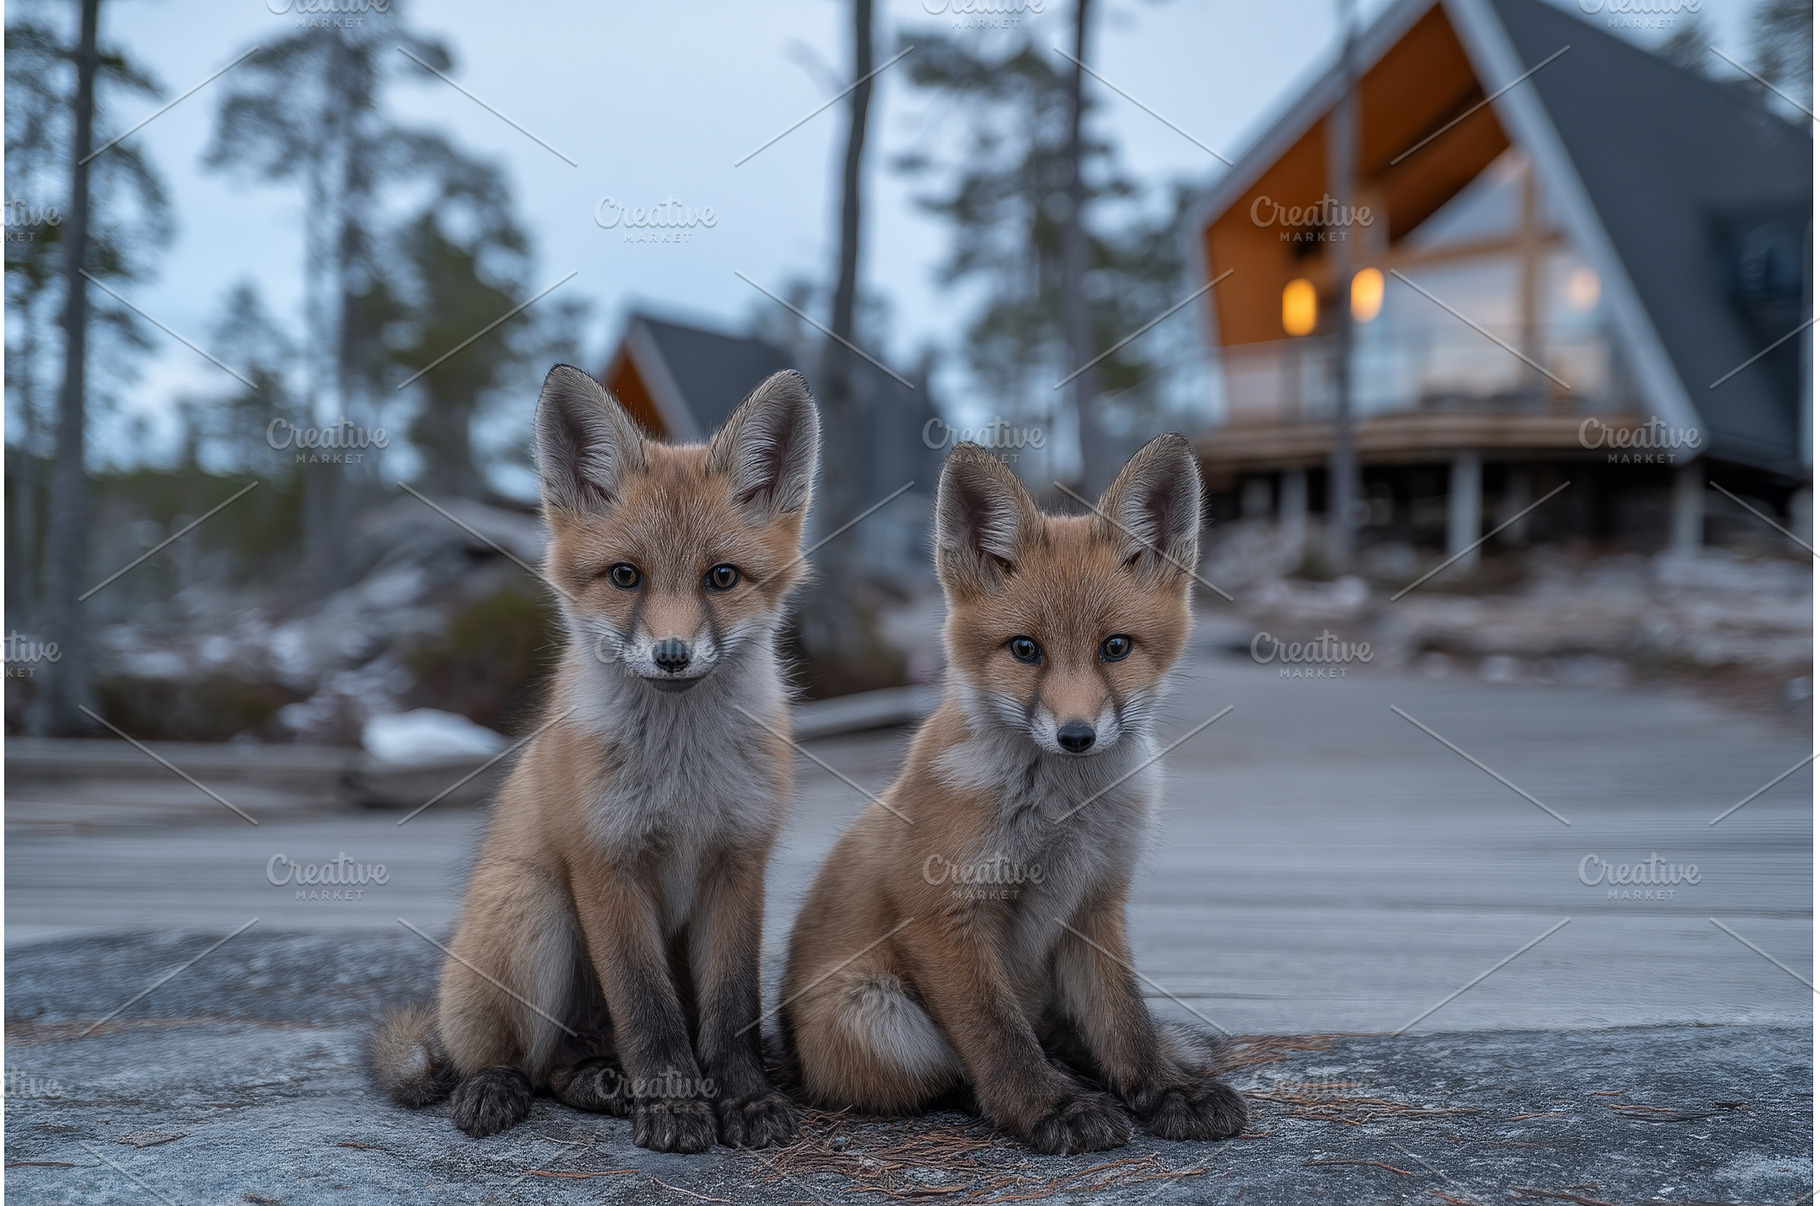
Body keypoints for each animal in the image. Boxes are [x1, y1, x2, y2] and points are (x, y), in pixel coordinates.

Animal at [370, 364, 817, 1152]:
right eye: (625, 576)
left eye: (722, 578)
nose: (672, 656)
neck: (680, 771)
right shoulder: (605, 865)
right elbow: (647, 1011)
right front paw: (674, 1105)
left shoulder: (739, 862)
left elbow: (732, 1011)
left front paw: (742, 1097)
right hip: (534, 909)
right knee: (518, 1061)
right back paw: (500, 1086)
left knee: (567, 1067)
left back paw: (601, 1083)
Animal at [779, 436, 1247, 1154]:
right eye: (1025, 649)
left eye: (1116, 647)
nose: (1076, 736)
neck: (1063, 814)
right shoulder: (944, 911)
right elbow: (996, 1035)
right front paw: (1046, 1106)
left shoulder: (1095, 902)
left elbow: (1125, 1021)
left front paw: (1163, 1088)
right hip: (875, 1021)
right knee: (951, 1068)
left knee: (1071, 1033)